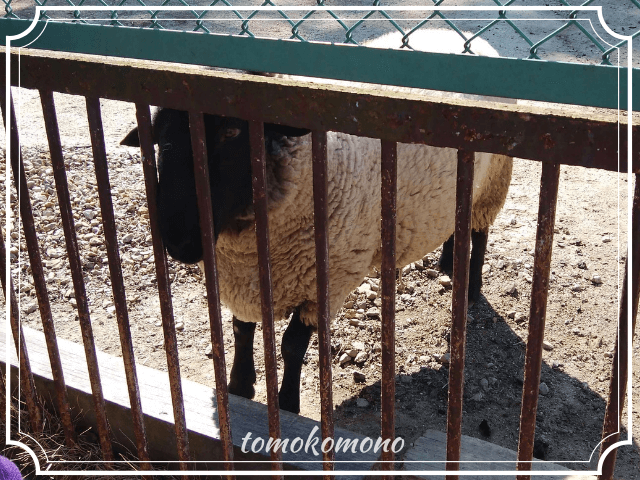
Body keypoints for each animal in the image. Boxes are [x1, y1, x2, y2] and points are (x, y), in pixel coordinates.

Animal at [121, 30, 516, 414]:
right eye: (158, 137)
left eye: (231, 132)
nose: (178, 240)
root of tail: (462, 35)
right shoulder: (241, 278)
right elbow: (241, 330)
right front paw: (239, 388)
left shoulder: (325, 282)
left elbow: (291, 346)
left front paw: (287, 405)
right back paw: (448, 261)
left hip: (494, 178)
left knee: (480, 231)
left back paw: (471, 288)